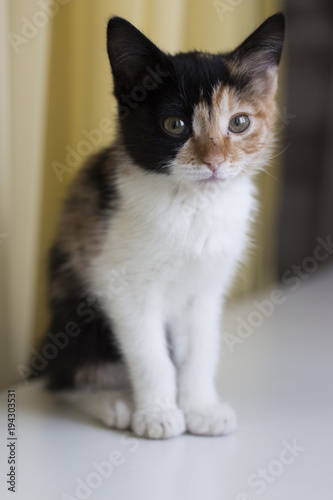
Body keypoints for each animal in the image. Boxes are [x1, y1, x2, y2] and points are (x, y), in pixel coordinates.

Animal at [38, 13, 282, 440]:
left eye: (239, 122)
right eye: (174, 124)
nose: (214, 162)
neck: (194, 204)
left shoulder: (207, 288)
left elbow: (200, 348)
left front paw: (201, 408)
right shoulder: (119, 280)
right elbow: (150, 353)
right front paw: (158, 414)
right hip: (76, 313)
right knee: (63, 378)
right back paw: (112, 402)